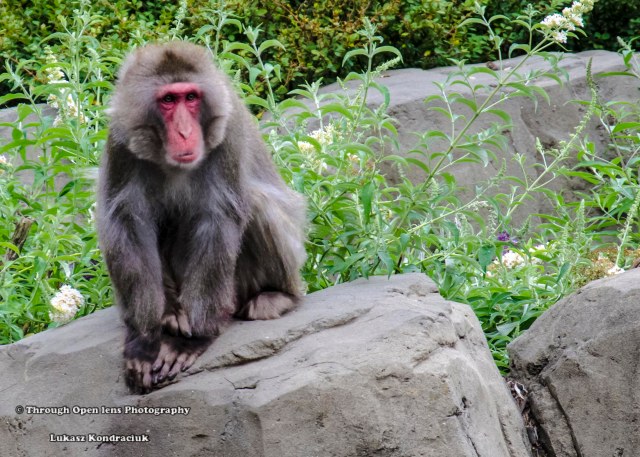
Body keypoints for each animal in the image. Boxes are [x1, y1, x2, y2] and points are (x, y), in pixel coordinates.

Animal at [97, 41, 307, 394]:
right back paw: (171, 315)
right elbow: (128, 222)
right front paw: (145, 337)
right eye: (169, 100)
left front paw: (193, 340)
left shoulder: (228, 132)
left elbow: (217, 217)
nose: (184, 132)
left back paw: (276, 297)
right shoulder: (120, 137)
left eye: (191, 97)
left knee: (256, 204)